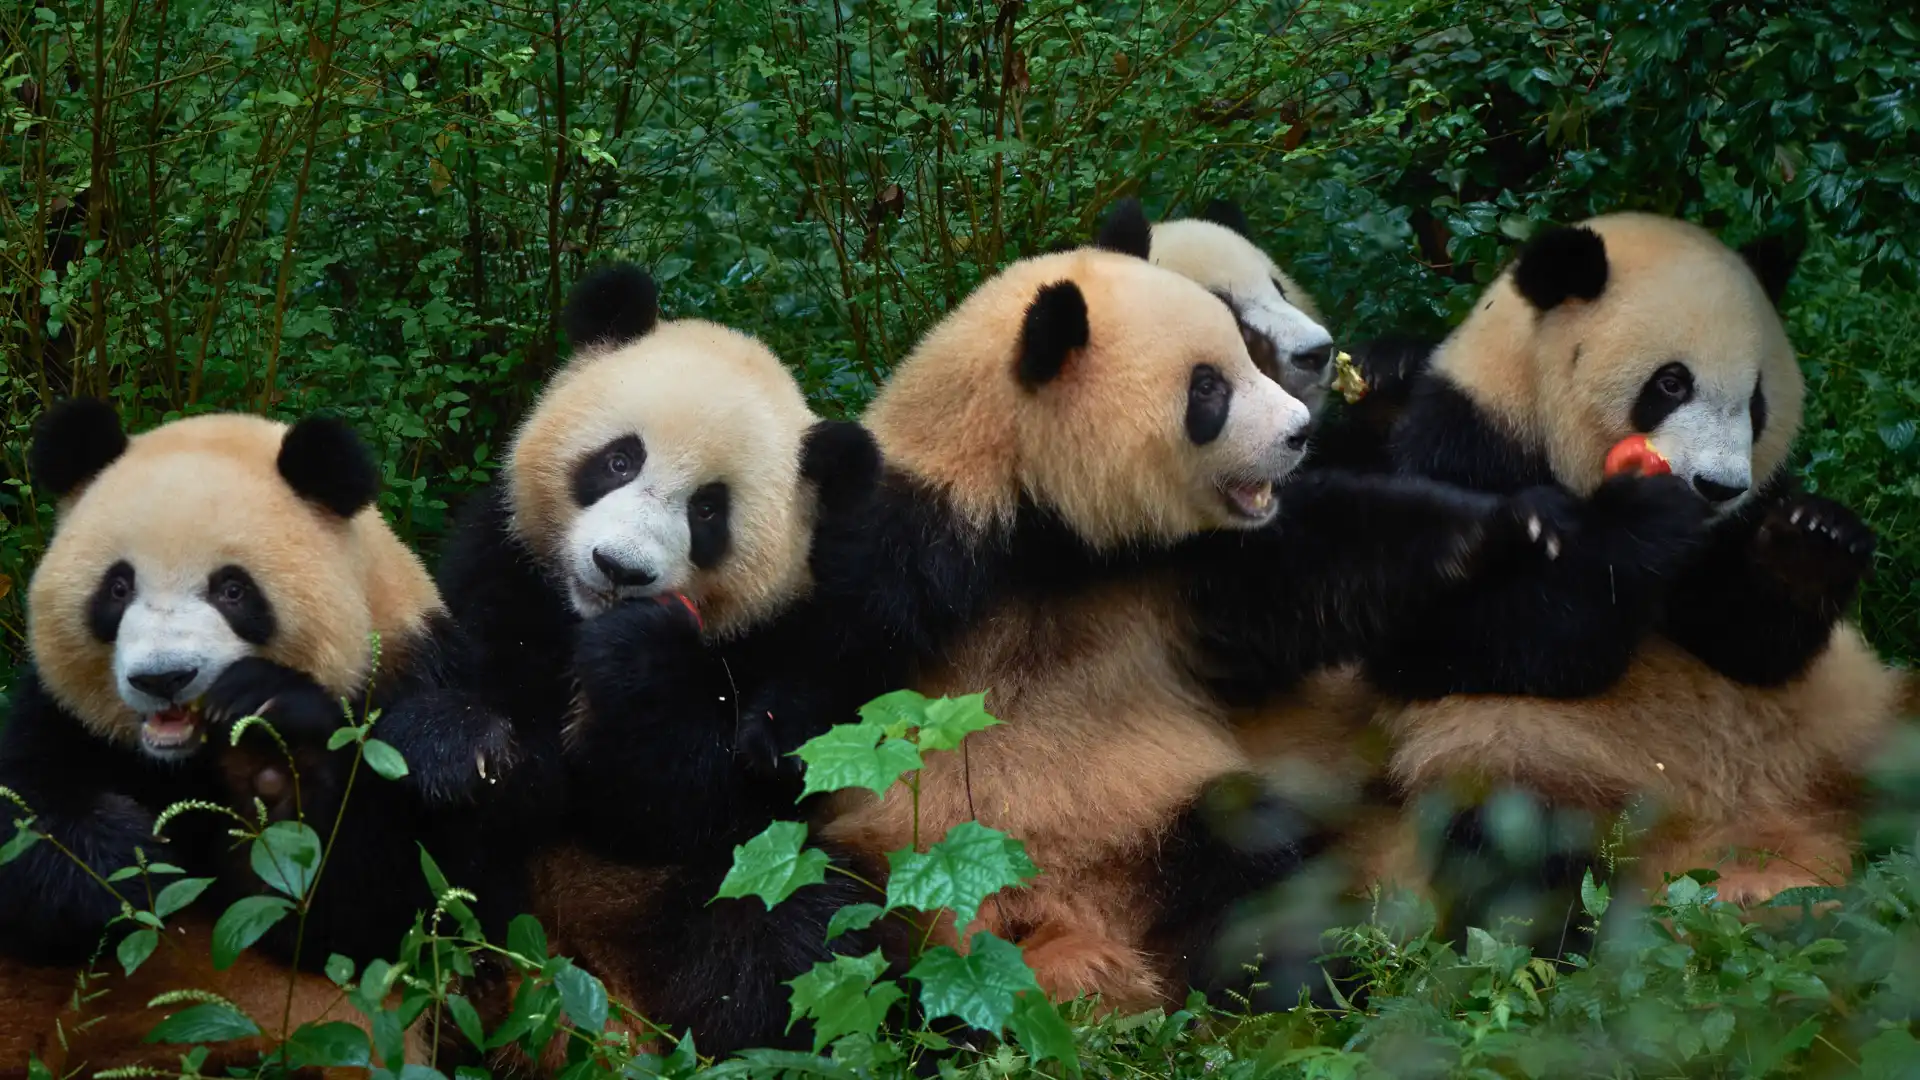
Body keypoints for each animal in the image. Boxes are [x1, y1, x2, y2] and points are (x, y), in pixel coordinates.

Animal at [0, 406, 503, 1070]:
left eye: (232, 589)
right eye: (118, 586)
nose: (164, 677)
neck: (179, 762)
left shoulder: (410, 682)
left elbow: (382, 914)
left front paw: (270, 756)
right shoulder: (58, 715)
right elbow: (26, 831)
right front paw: (130, 860)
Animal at [433, 264, 883, 1061]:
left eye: (708, 511)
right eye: (619, 459)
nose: (620, 568)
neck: (578, 622)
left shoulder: (799, 639)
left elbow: (688, 799)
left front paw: (634, 660)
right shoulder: (502, 565)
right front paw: (477, 749)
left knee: (800, 932)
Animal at [801, 205, 1572, 1012]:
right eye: (1209, 388)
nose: (1299, 432)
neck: (1037, 522)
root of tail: (1074, 943)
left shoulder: (1177, 570)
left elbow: (1324, 567)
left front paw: (1519, 525)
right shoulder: (899, 554)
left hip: (1161, 820)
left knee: (1248, 864)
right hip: (896, 874)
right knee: (822, 930)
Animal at [1359, 212, 1906, 930]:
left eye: (1757, 399)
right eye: (1671, 383)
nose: (1718, 486)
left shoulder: (1738, 527)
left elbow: (1751, 643)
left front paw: (1815, 541)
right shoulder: (1467, 445)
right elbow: (1439, 631)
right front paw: (1646, 519)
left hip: (1851, 720)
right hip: (1535, 757)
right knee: (1516, 846)